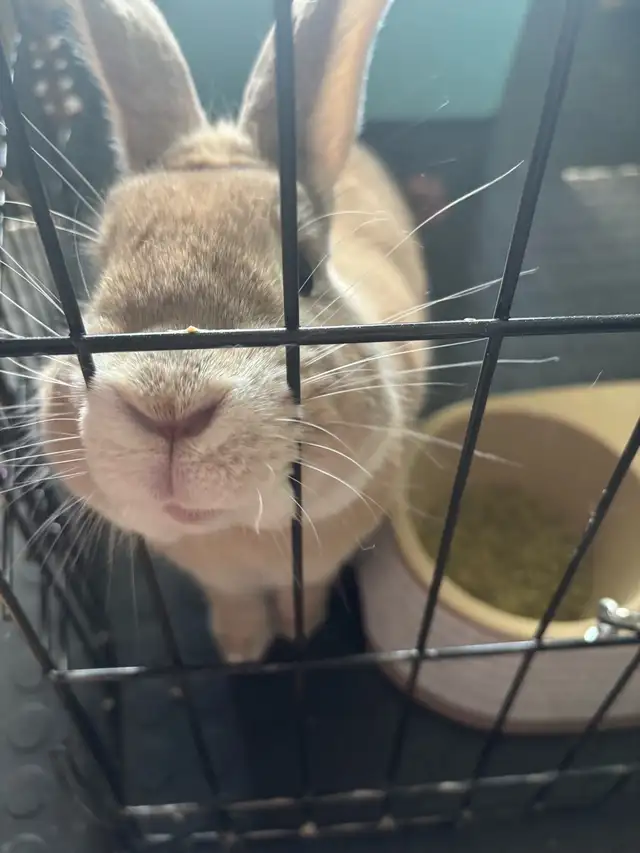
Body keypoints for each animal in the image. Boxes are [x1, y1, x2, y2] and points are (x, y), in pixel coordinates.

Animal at [36, 0, 428, 663]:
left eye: (305, 270)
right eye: (98, 268)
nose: (168, 411)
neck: (241, 532)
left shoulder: (319, 562)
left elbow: (309, 587)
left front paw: (300, 630)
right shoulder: (221, 581)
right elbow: (234, 601)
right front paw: (241, 648)